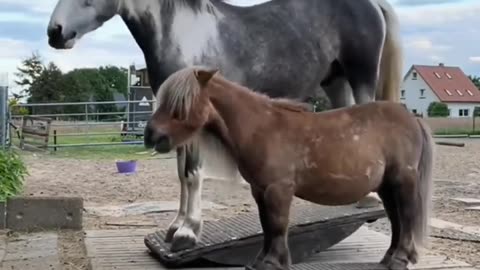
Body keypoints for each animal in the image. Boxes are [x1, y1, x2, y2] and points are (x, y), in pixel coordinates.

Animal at [47, 0, 402, 251]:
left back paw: (370, 199)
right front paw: (176, 226)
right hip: (335, 81)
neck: (183, 33)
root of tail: (373, 5)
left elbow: (193, 173)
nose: (55, 32)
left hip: (360, 75)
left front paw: (188, 232)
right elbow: (181, 175)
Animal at [143, 66, 436, 270]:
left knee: (407, 216)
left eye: (180, 104)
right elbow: (267, 225)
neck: (260, 128)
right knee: (396, 219)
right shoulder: (260, 190)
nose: (151, 135)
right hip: (387, 185)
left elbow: (278, 224)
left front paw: (273, 261)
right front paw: (262, 260)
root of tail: (412, 118)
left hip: (403, 180)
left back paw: (399, 258)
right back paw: (389, 257)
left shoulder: (278, 189)